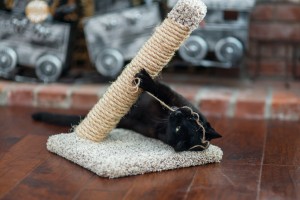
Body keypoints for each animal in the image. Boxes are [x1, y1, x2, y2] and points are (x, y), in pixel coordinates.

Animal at [32, 69, 220, 151]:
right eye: (191, 119)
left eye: (179, 129)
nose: (179, 113)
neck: (163, 119)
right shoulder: (175, 98)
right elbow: (160, 94)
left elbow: (157, 89)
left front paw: (145, 80)